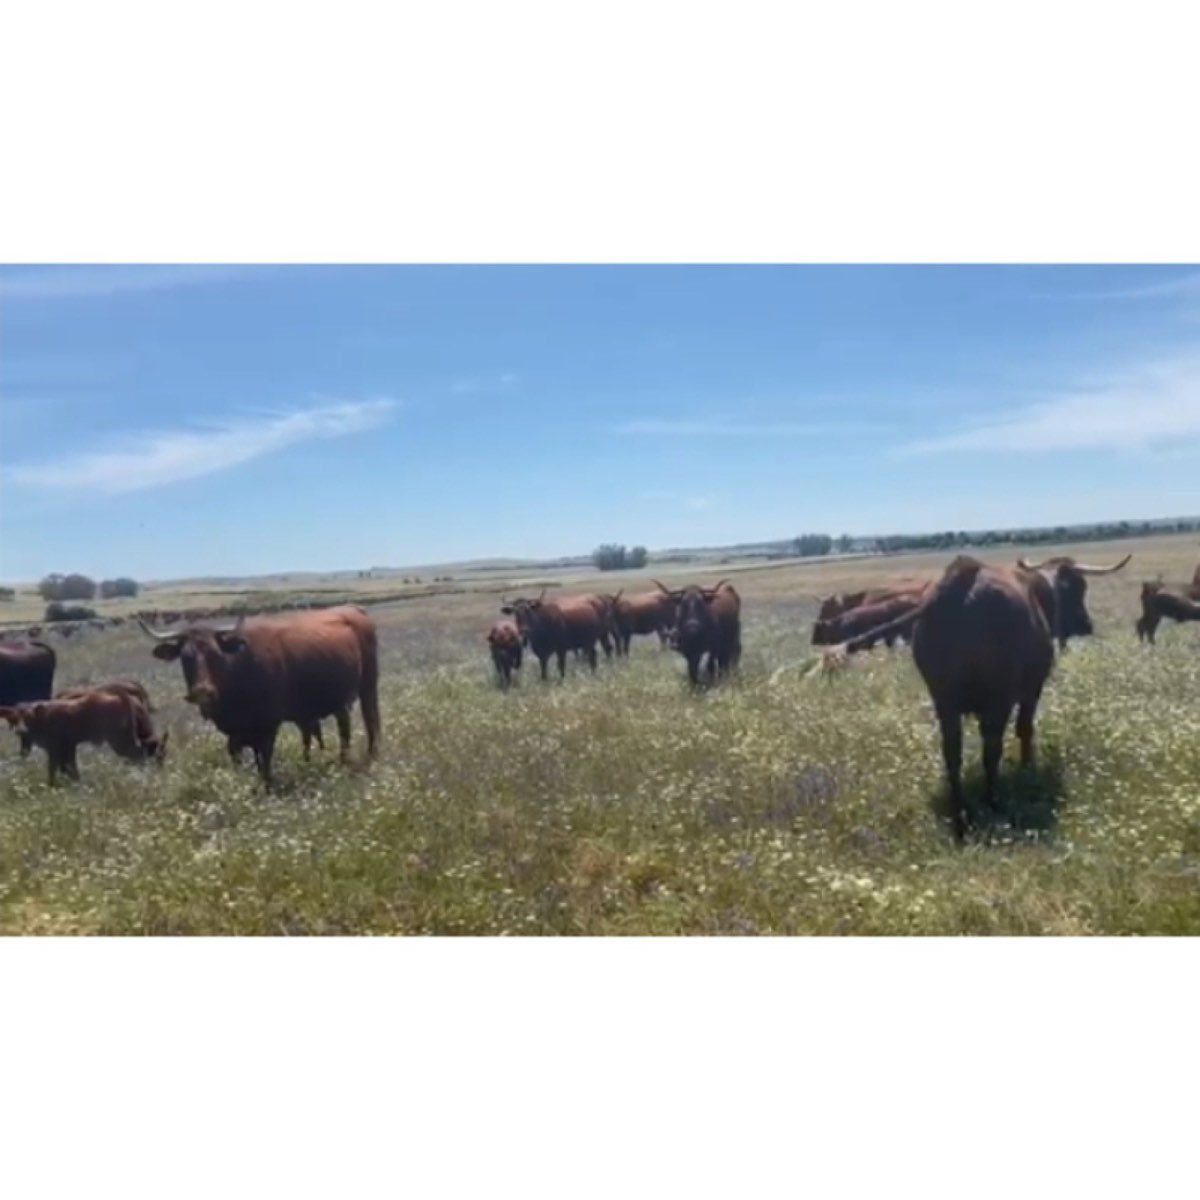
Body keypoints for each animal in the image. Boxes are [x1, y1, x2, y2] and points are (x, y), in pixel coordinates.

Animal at [1, 688, 166, 784]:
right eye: (14, 718)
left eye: (28, 717)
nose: (21, 730)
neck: (43, 718)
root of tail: (122, 697)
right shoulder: (62, 748)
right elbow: (65, 767)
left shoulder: (59, 747)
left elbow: (60, 768)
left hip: (120, 741)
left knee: (138, 755)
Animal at [138, 605, 380, 783]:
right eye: (185, 657)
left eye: (216, 654)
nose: (202, 691)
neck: (238, 667)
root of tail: (355, 610)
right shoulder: (237, 732)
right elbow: (241, 757)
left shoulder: (268, 725)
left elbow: (265, 760)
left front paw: (267, 786)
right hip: (340, 702)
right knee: (344, 729)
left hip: (368, 688)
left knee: (371, 721)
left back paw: (371, 756)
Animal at [822, 554, 1117, 843]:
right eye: (1079, 588)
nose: (1087, 624)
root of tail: (960, 581)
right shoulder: (1030, 691)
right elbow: (1025, 729)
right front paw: (1027, 769)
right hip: (996, 702)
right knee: (991, 751)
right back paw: (994, 802)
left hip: (945, 704)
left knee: (952, 755)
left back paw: (960, 814)